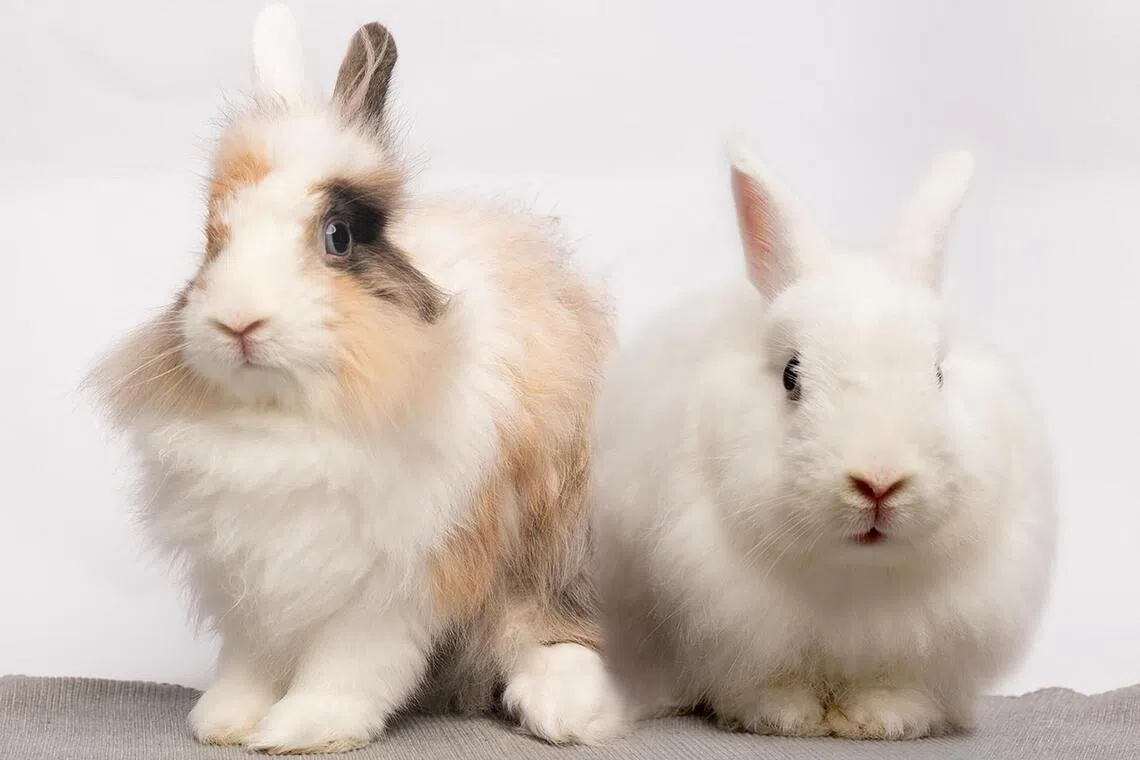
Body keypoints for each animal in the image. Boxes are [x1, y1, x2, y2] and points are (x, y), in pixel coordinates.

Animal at [85, 4, 625, 753]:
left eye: (338, 236)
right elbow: (251, 659)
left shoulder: (397, 579)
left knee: (552, 625)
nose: (238, 322)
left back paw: (568, 709)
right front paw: (225, 719)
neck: (290, 421)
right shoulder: (254, 578)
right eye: (212, 238)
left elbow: (350, 665)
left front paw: (304, 728)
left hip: (563, 545)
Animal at [590, 141, 1058, 740]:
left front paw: (883, 719)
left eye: (937, 374)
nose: (878, 484)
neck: (853, 574)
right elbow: (766, 679)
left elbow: (891, 680)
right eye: (792, 375)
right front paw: (784, 715)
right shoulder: (725, 614)